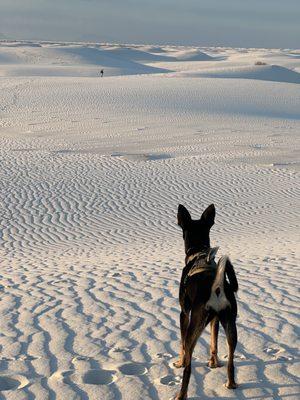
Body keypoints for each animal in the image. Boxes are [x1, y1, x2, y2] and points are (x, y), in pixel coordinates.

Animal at [175, 205, 238, 398]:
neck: (199, 253)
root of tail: (216, 287)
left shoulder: (184, 313)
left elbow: (181, 345)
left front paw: (179, 362)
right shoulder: (215, 319)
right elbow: (214, 342)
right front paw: (213, 362)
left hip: (194, 325)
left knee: (188, 366)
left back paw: (181, 394)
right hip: (230, 323)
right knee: (231, 360)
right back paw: (230, 384)